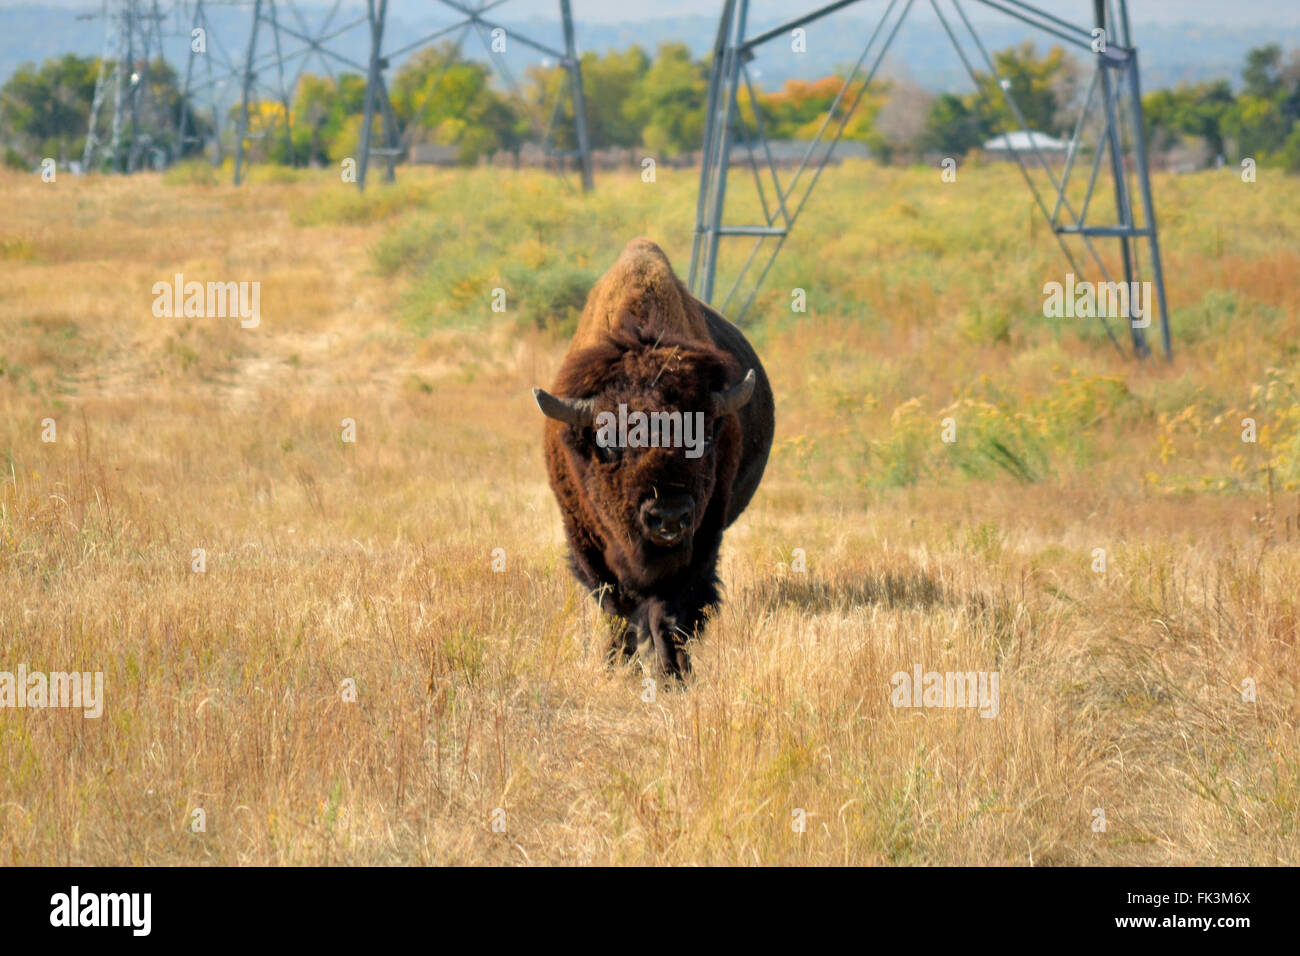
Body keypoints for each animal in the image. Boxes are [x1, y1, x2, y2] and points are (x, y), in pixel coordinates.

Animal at [530, 239, 769, 681]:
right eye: (608, 442)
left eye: (704, 437)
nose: (669, 516)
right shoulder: (587, 542)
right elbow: (616, 607)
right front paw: (616, 665)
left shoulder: (700, 543)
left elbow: (670, 612)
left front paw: (673, 672)